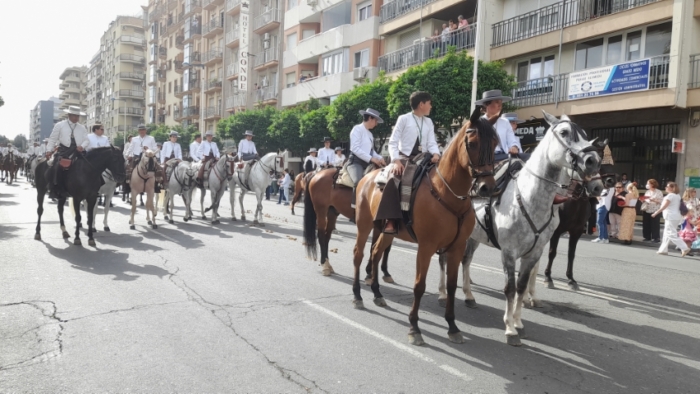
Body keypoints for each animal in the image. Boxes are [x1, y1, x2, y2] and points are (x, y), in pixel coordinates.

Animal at [434, 112, 600, 346]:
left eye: (585, 133)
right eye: (564, 132)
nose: (592, 161)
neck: (530, 198)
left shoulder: (534, 252)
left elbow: (521, 286)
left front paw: (519, 322)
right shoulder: (509, 252)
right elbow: (510, 289)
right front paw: (509, 328)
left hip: (472, 237)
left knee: (465, 261)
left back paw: (468, 295)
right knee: (444, 260)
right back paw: (442, 294)